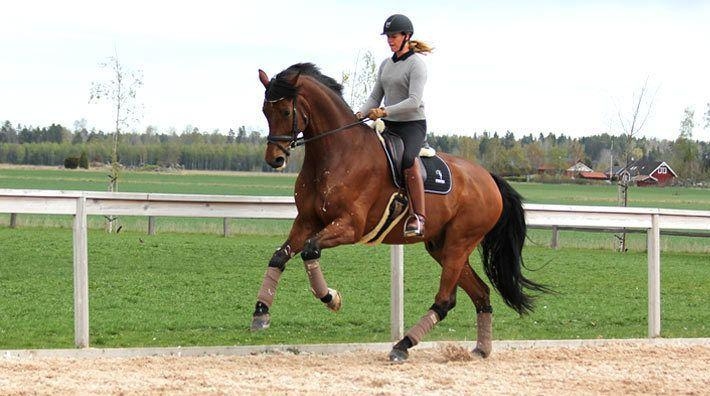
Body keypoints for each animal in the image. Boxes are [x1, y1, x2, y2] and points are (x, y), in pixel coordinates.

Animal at [250, 62, 552, 362]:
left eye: (286, 111)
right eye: (265, 111)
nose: (275, 159)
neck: (337, 154)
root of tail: (489, 178)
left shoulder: (349, 227)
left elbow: (310, 250)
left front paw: (331, 298)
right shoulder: (306, 221)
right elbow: (279, 256)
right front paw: (261, 313)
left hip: (460, 243)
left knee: (446, 300)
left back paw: (402, 346)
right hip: (442, 247)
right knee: (481, 293)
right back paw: (481, 349)